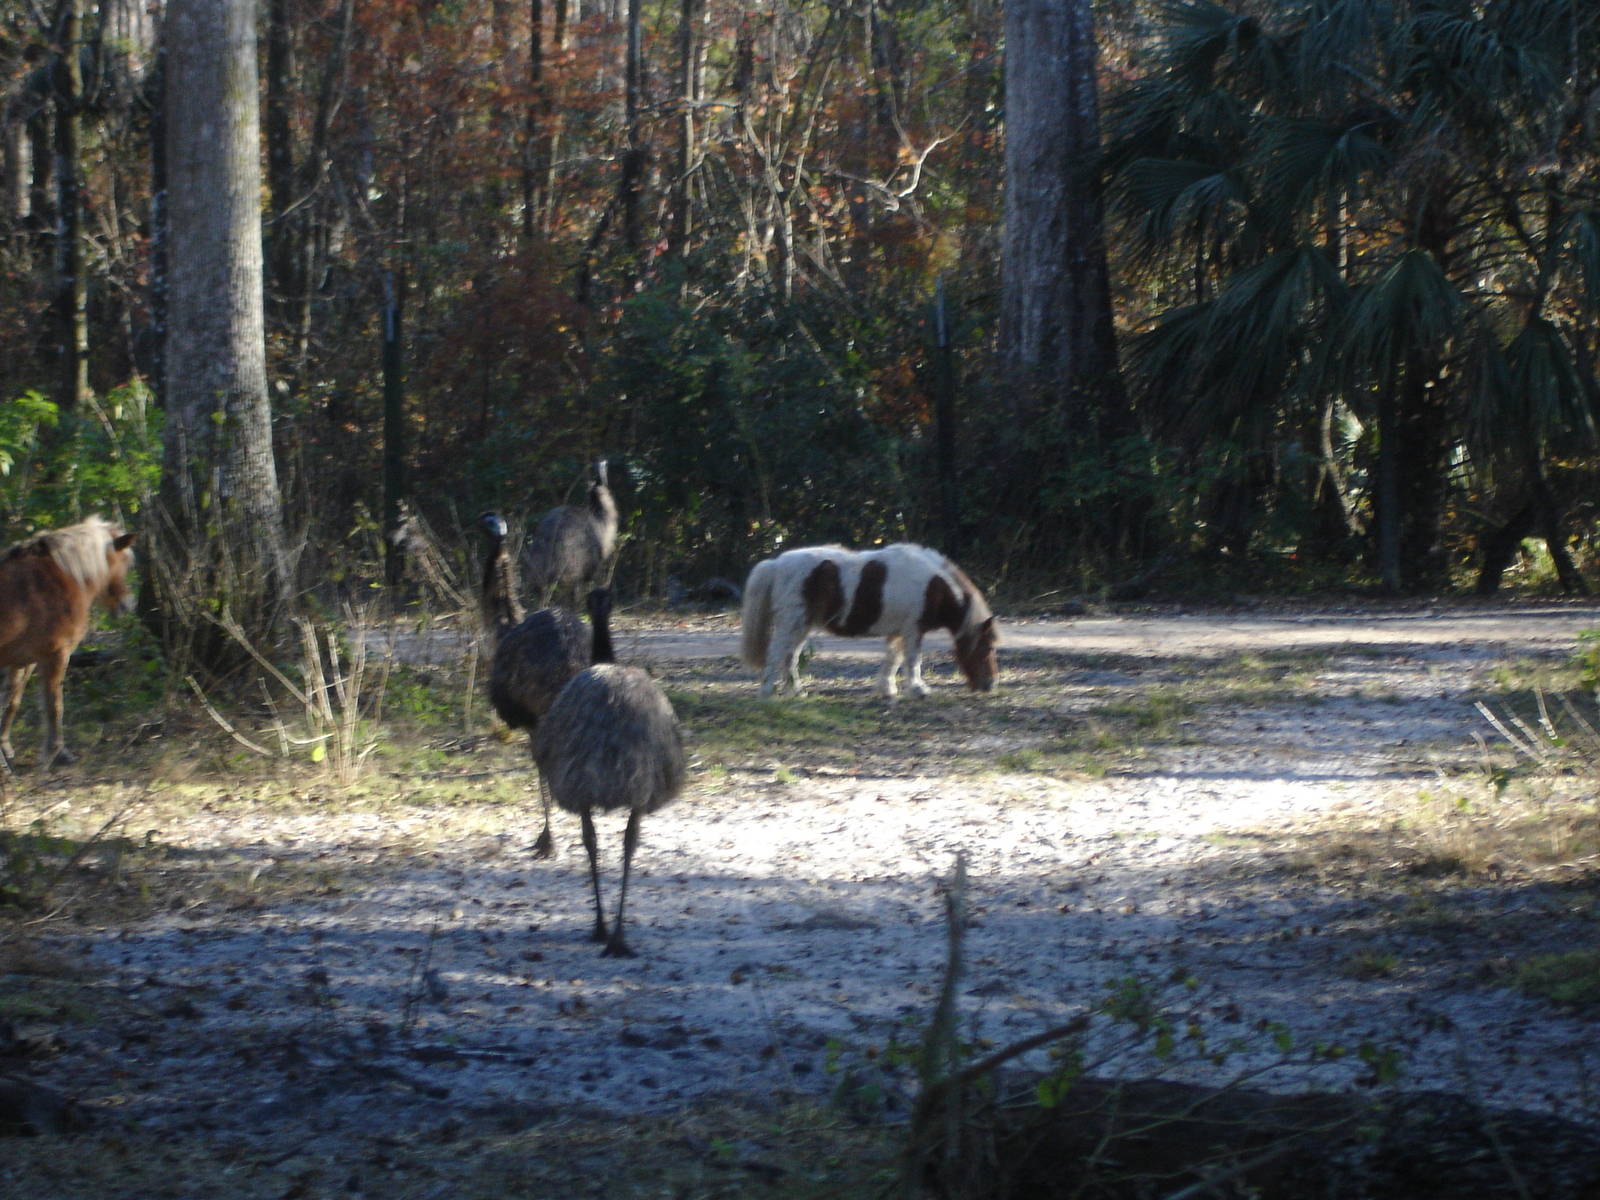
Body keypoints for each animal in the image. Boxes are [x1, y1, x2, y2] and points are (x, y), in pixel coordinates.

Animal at [0, 516, 137, 767]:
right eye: (127, 564)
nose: (127, 604)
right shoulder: (56, 654)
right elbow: (55, 705)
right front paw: (58, 752)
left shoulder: (23, 661)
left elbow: (11, 701)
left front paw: (4, 747)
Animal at [739, 542, 999, 698]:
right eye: (987, 648)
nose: (989, 684)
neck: (935, 586)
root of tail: (776, 564)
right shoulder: (913, 630)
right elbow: (912, 660)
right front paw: (918, 689)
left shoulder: (898, 632)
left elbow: (893, 659)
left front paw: (887, 689)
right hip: (791, 623)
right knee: (776, 654)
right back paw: (767, 692)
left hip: (801, 625)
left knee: (790, 657)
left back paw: (796, 692)